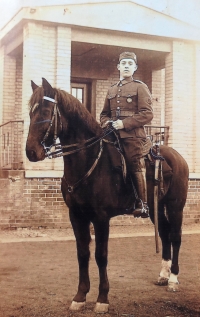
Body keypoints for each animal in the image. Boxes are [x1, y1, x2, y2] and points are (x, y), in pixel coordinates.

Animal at [25, 78, 189, 312]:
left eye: (46, 110)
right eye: (31, 111)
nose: (31, 152)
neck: (89, 160)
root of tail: (177, 157)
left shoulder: (101, 218)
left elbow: (100, 256)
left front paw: (102, 298)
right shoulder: (76, 216)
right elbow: (82, 253)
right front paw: (80, 296)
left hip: (176, 206)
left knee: (175, 236)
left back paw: (174, 279)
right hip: (154, 209)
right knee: (165, 233)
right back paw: (164, 275)